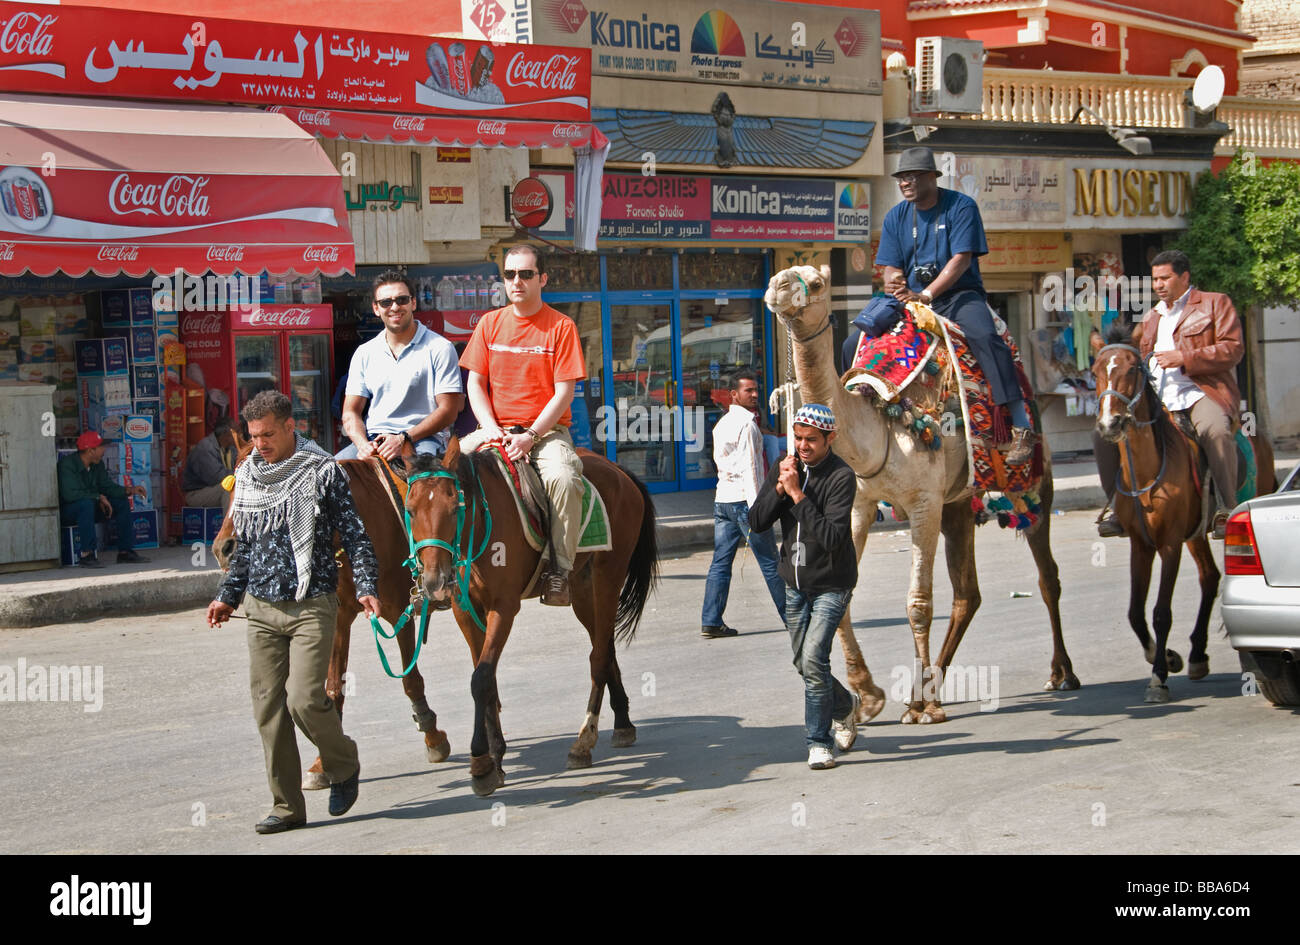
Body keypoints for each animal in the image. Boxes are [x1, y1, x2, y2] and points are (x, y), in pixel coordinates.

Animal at [213, 454, 452, 785]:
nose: (226, 548)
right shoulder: (335, 619)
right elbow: (331, 688)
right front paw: (322, 763)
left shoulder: (399, 611)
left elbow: (411, 680)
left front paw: (433, 737)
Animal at [400, 436, 655, 800]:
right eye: (410, 510)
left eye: (454, 507)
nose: (434, 581)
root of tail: (619, 471)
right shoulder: (466, 611)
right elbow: (486, 679)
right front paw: (496, 759)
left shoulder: (504, 608)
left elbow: (480, 679)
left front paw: (481, 764)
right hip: (582, 589)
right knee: (605, 648)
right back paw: (622, 723)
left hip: (609, 576)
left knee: (598, 656)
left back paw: (584, 740)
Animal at [759, 262, 1076, 722]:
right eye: (784, 274)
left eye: (815, 283)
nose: (776, 287)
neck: (879, 421)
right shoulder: (859, 503)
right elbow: (843, 596)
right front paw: (869, 696)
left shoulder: (924, 502)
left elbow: (919, 603)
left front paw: (924, 710)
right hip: (959, 505)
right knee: (968, 594)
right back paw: (925, 689)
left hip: (1036, 484)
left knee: (1047, 575)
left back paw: (1059, 673)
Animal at [1086, 324, 1279, 701]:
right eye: (1097, 370)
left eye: (1133, 369)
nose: (1110, 423)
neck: (1147, 469)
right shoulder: (1141, 545)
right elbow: (1134, 612)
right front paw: (1166, 657)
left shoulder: (1170, 544)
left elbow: (1161, 612)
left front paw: (1159, 675)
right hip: (1195, 535)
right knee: (1209, 577)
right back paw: (1197, 655)